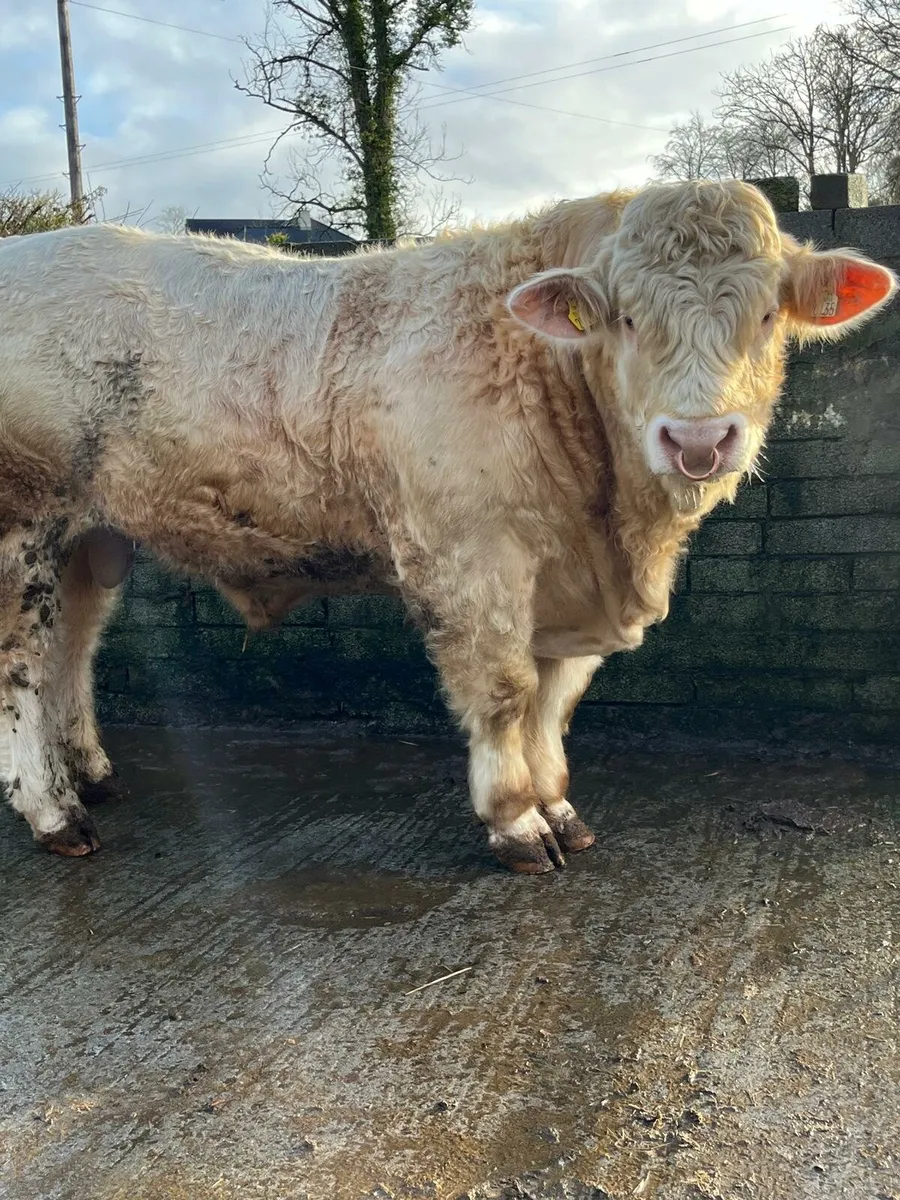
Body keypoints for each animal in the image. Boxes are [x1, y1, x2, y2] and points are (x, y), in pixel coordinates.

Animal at [0, 180, 894, 872]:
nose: (699, 439)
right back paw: (53, 811)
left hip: (89, 537)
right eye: (627, 318)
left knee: (73, 647)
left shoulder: (564, 590)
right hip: (23, 522)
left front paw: (558, 805)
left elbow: (553, 701)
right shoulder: (470, 557)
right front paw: (517, 821)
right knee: (22, 666)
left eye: (768, 317)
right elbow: (504, 692)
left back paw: (89, 771)